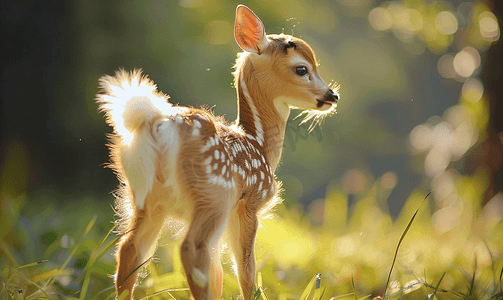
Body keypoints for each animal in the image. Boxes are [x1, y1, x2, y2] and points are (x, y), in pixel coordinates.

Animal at [95, 4, 338, 300]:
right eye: (302, 68)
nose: (332, 96)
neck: (259, 143)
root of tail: (158, 124)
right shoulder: (249, 203)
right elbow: (245, 269)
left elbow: (219, 273)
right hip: (214, 193)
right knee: (191, 251)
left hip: (146, 197)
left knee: (130, 249)